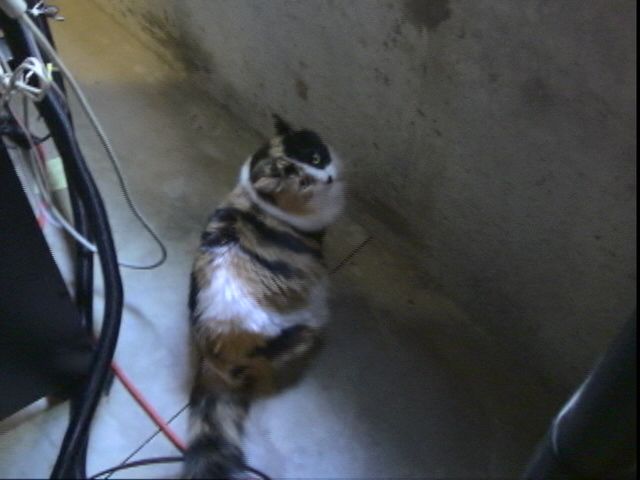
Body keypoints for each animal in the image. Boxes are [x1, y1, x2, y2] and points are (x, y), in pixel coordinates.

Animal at [184, 115, 344, 479]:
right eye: (303, 183)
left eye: (316, 157)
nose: (328, 178)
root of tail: (214, 357)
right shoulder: (318, 237)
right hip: (302, 329)